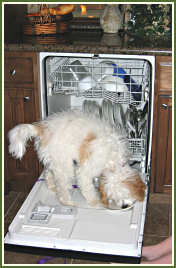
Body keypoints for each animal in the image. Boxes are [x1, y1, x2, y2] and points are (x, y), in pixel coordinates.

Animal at [8, 110, 146, 209]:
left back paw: (51, 186)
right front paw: (94, 202)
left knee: (48, 172)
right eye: (115, 197)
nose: (124, 206)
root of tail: (43, 128)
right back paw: (67, 201)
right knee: (62, 187)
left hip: (55, 160)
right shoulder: (85, 172)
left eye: (125, 194)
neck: (113, 159)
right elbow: (88, 188)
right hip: (65, 165)